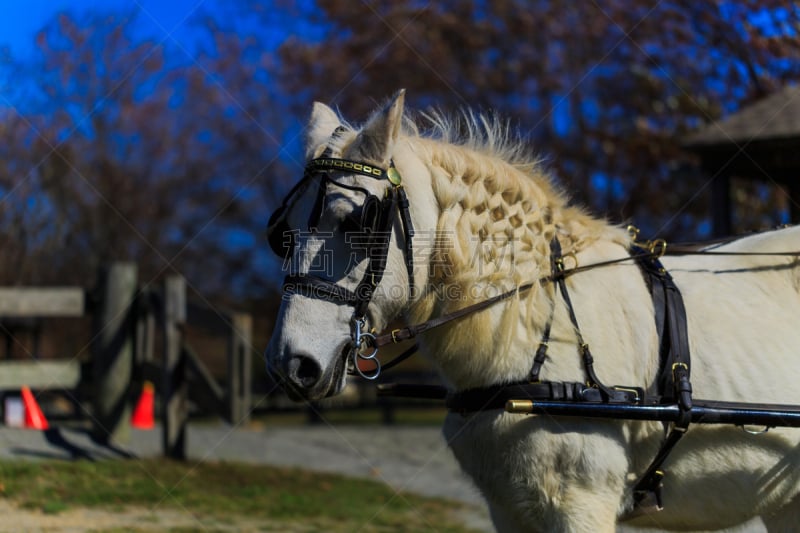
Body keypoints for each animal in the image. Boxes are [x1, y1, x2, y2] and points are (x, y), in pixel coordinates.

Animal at [264, 89, 800, 528]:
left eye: (355, 221)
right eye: (281, 230)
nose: (292, 363)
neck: (534, 317)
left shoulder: (580, 504)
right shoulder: (509, 508)